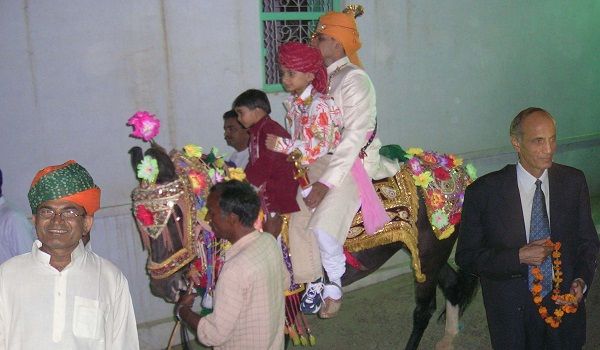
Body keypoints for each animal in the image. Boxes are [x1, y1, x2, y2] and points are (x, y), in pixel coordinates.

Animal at [125, 112, 478, 350]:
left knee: (423, 309)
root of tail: (456, 170)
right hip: (431, 253)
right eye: (139, 223)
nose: (163, 286)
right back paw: (448, 337)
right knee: (452, 284)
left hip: (428, 254)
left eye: (175, 216)